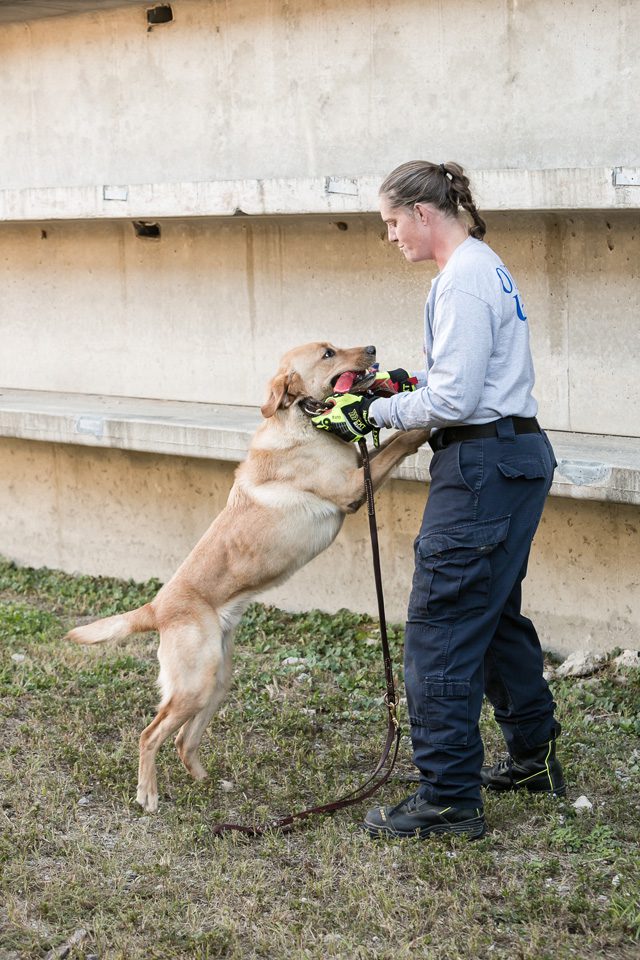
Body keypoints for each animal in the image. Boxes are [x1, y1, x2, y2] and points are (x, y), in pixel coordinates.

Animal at [65, 344, 428, 808]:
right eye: (328, 353)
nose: (372, 348)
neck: (300, 421)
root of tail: (156, 607)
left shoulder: (357, 475)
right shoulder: (351, 488)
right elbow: (399, 443)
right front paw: (428, 424)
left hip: (216, 681)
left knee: (182, 740)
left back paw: (208, 784)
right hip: (194, 685)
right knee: (151, 734)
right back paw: (148, 795)